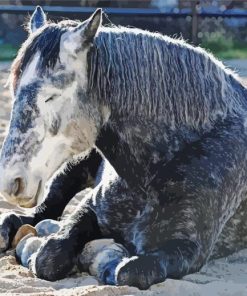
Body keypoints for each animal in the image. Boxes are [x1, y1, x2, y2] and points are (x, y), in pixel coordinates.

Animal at [0, 5, 247, 290]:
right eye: (14, 91)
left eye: (51, 96)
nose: (11, 183)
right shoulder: (91, 210)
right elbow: (48, 256)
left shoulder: (189, 248)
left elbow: (131, 272)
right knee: (41, 212)